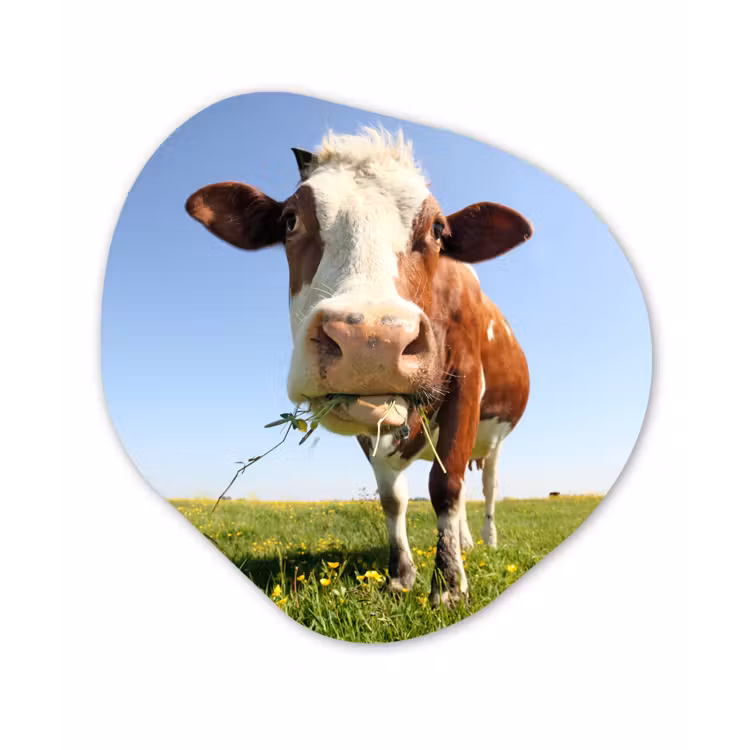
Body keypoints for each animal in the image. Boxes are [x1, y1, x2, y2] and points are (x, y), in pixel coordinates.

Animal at [186, 128, 531, 606]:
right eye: (290, 220)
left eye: (438, 230)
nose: (372, 340)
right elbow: (393, 498)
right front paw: (401, 575)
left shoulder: (465, 382)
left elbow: (445, 487)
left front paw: (448, 586)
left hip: (495, 439)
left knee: (485, 487)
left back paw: (484, 542)